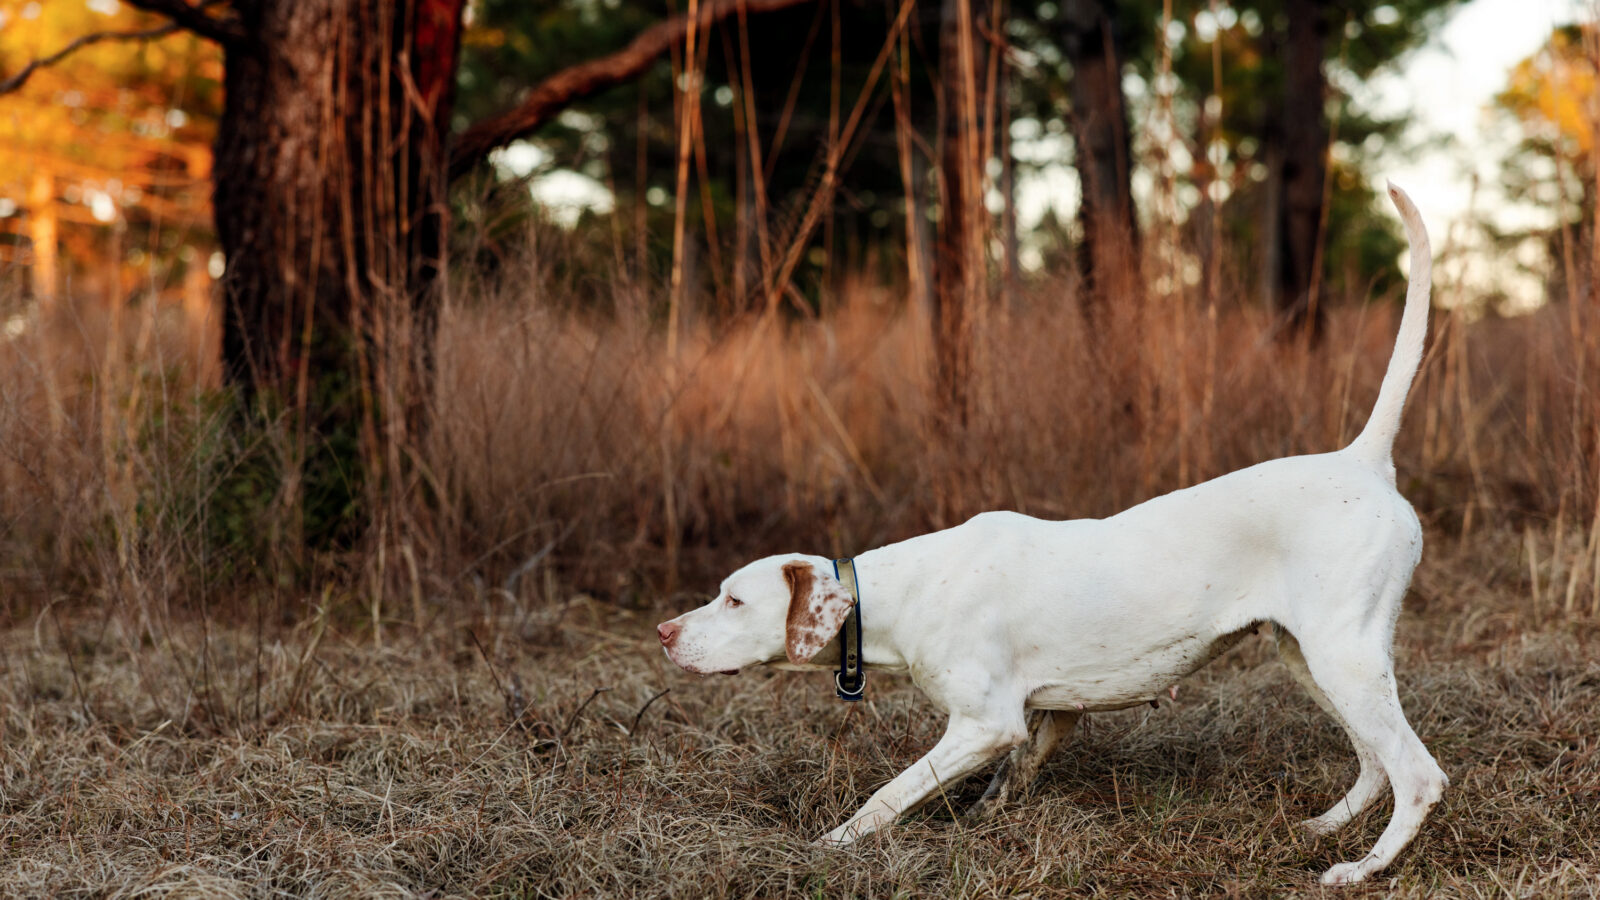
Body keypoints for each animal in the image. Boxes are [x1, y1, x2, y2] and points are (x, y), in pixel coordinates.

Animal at [656, 182, 1446, 883]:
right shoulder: (1048, 714)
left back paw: (1361, 869)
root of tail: (1362, 457)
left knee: (1417, 774)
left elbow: (891, 793)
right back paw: (1324, 829)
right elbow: (1012, 776)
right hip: (1310, 658)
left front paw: (831, 845)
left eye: (732, 600)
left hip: (1343, 657)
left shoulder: (984, 722)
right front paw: (983, 819)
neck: (900, 591)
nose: (664, 633)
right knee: (1375, 764)